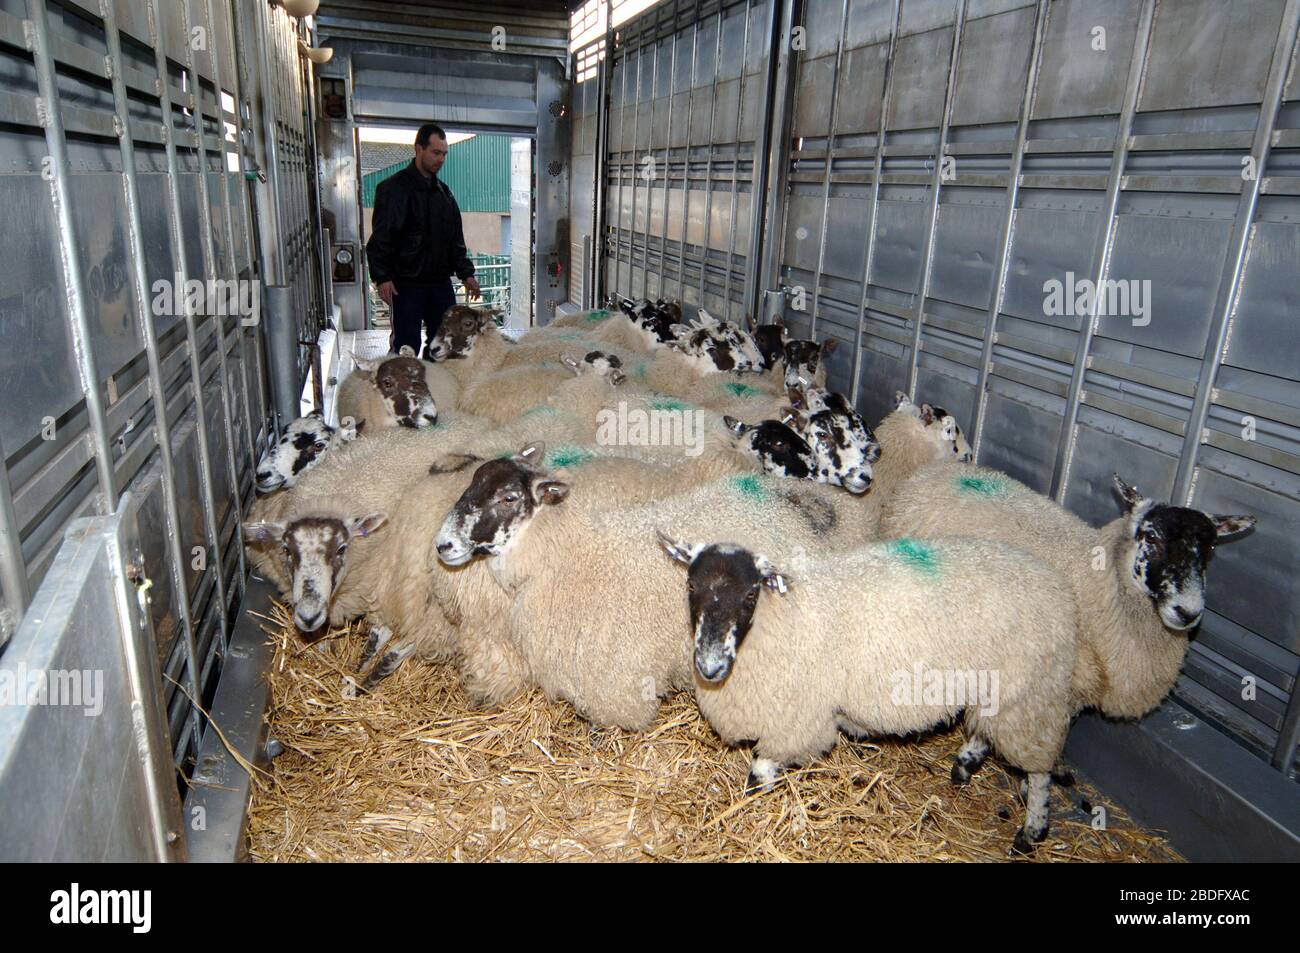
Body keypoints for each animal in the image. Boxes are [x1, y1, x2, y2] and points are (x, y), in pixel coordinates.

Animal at [660, 530, 1076, 852]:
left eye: (750, 595)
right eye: (691, 585)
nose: (710, 666)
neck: (786, 615)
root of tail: (1051, 580)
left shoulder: (794, 720)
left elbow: (758, 775)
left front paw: (747, 806)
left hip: (1030, 693)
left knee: (1039, 767)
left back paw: (1032, 830)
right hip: (997, 688)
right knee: (984, 728)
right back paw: (965, 764)